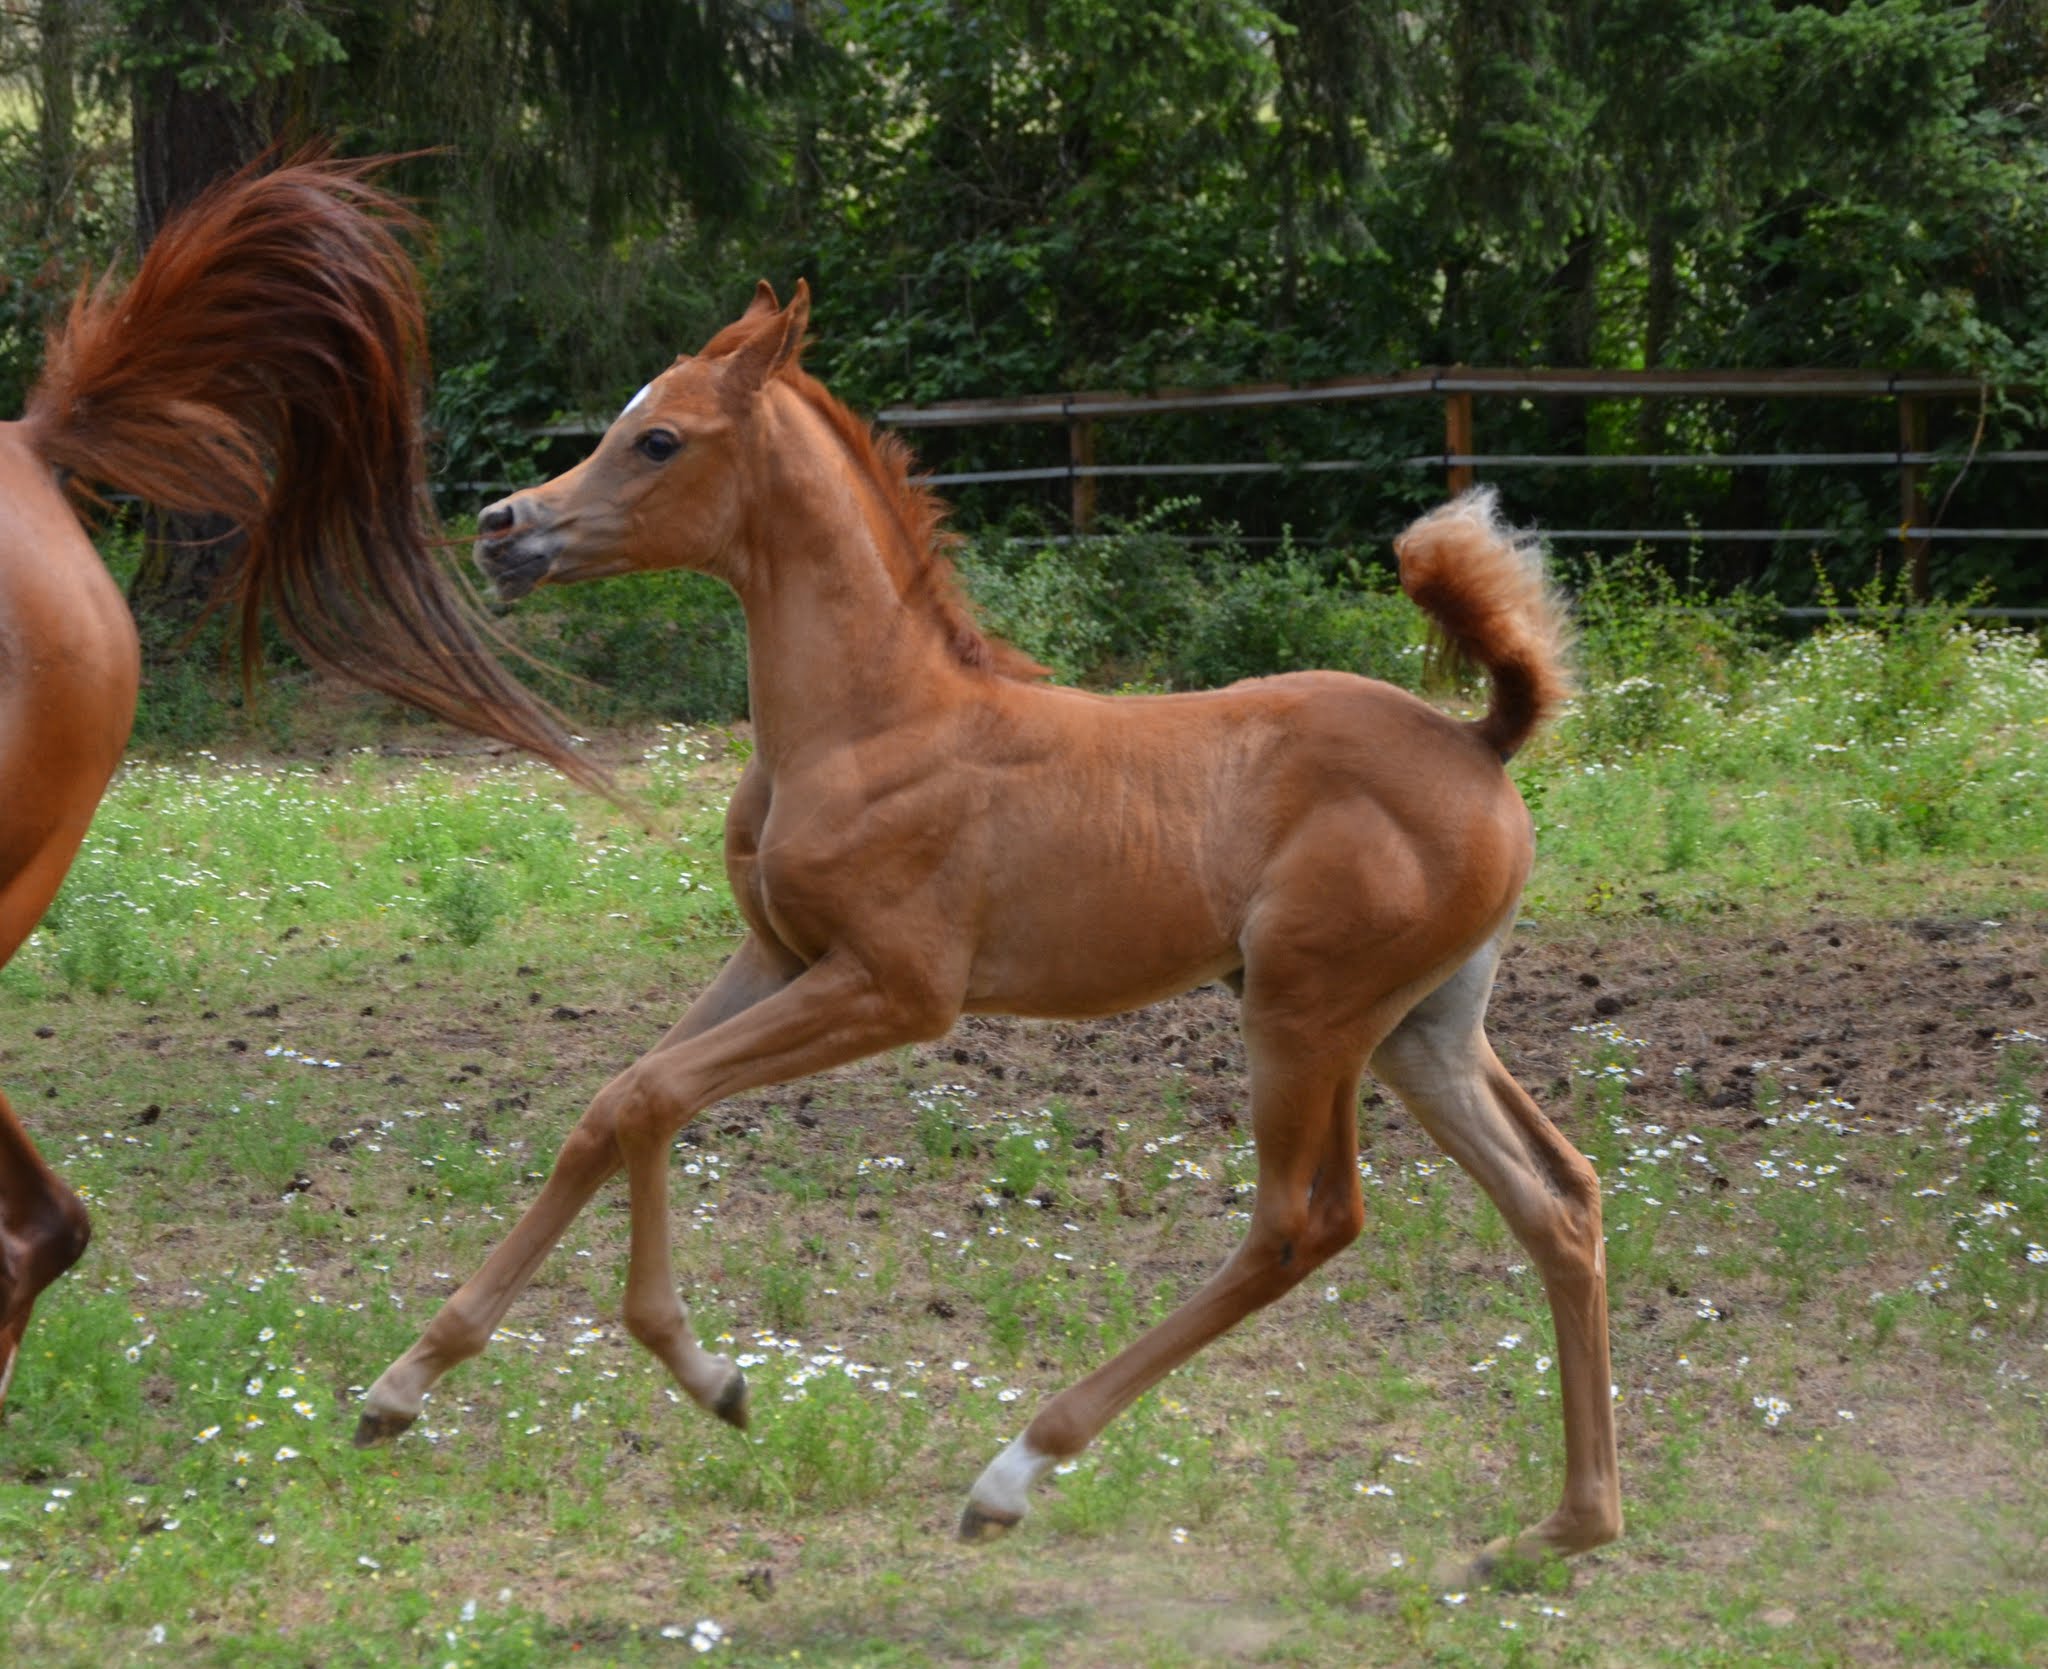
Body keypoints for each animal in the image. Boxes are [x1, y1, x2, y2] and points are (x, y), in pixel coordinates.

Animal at [355, 280, 1621, 1581]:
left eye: (657, 439)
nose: (502, 528)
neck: (869, 721)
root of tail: (1478, 740)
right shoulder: (776, 955)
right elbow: (609, 1105)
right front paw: (402, 1383)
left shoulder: (897, 987)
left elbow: (656, 1097)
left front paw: (707, 1373)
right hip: (1423, 1028)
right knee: (1559, 1201)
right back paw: (1561, 1527)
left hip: (1303, 1011)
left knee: (1299, 1224)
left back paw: (1011, 1471)